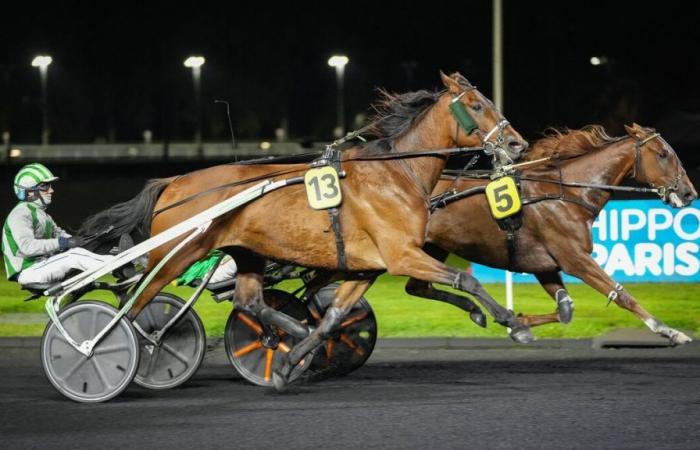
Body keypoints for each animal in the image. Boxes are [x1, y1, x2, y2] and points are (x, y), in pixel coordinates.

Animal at [76, 72, 528, 388]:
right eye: (476, 104)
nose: (518, 144)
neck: (396, 174)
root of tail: (172, 182)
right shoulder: (402, 255)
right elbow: (466, 281)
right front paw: (514, 322)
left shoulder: (366, 267)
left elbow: (333, 319)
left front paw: (290, 362)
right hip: (175, 254)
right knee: (133, 304)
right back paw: (103, 348)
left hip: (247, 254)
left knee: (248, 301)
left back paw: (289, 331)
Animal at [408, 123, 696, 344]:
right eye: (663, 154)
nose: (688, 193)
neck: (567, 193)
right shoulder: (575, 259)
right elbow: (621, 294)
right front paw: (669, 331)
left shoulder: (543, 264)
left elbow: (566, 309)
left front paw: (519, 323)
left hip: (431, 247)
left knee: (417, 287)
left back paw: (476, 312)